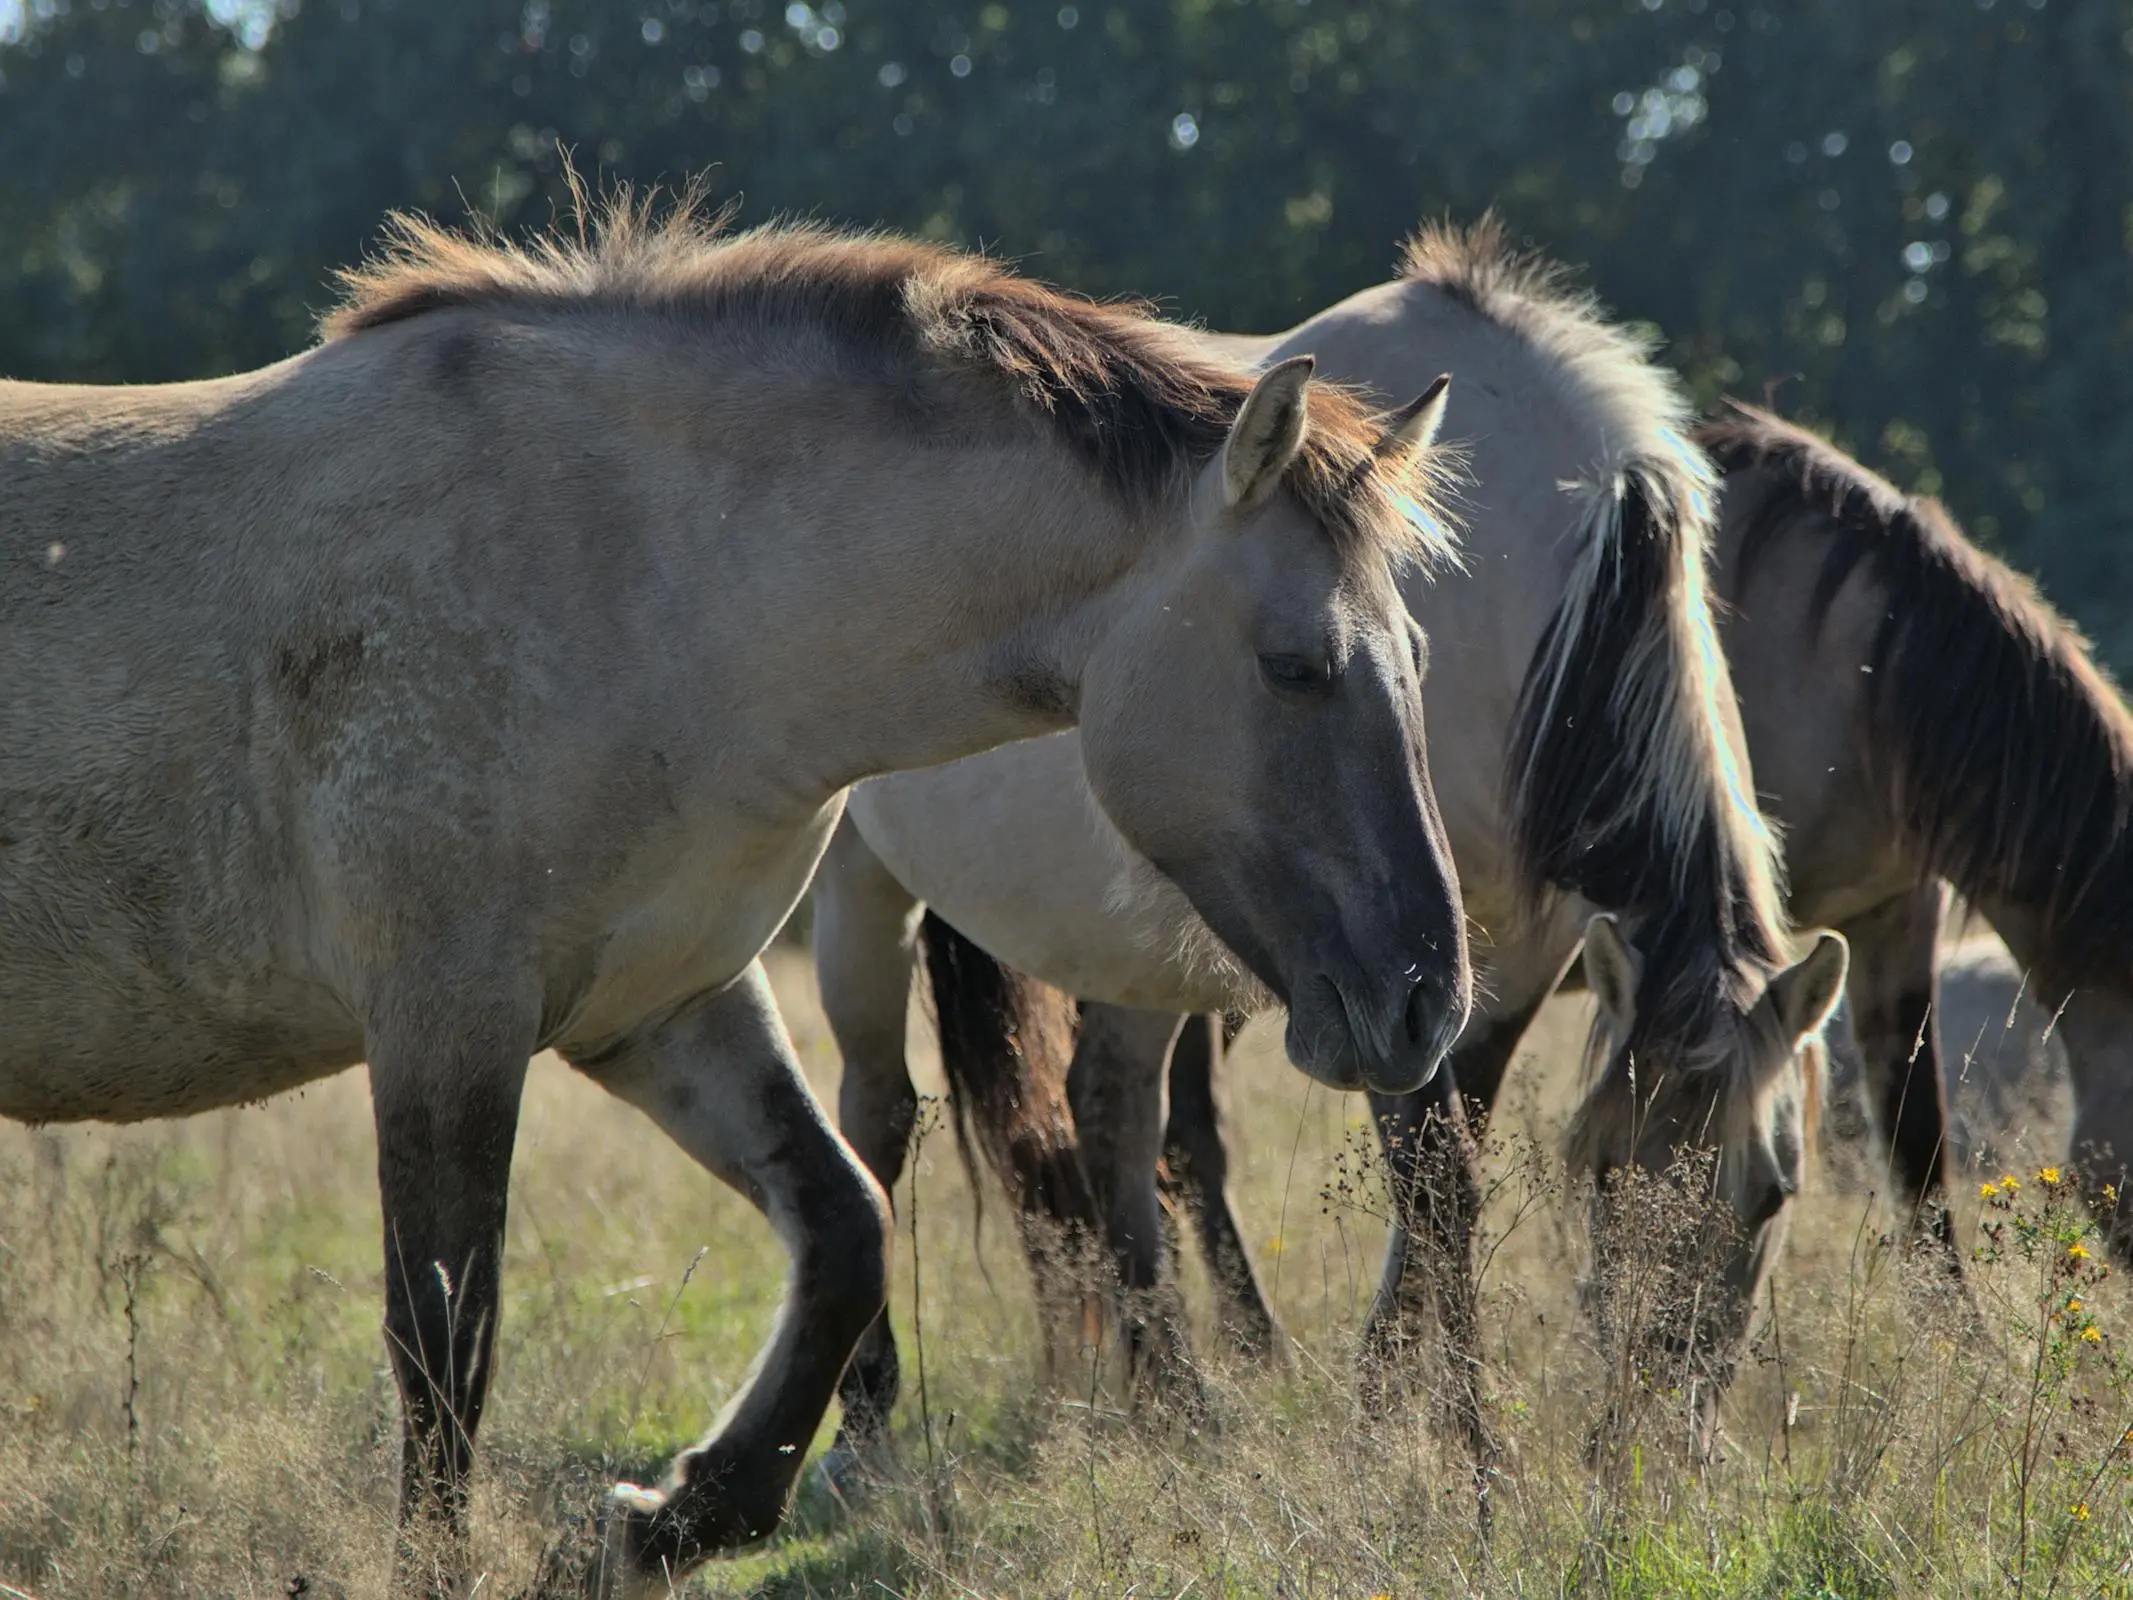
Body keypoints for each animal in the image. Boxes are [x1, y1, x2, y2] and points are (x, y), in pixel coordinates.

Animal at [0, 194, 1467, 1595]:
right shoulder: (443, 1025)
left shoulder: (662, 1004)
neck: (639, 579)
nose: (1424, 1002)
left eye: (1417, 650)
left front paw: (667, 1520)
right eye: (1294, 665)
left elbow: (846, 1230)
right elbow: (445, 1345)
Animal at [806, 219, 1842, 1484]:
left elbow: (1442, 1171)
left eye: (1773, 1195)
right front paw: (1453, 1439)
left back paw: (1176, 1394)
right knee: (878, 1114)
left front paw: (1388, 1402)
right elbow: (1437, 1183)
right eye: (1603, 1168)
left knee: (1115, 1114)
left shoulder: (1492, 967)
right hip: (860, 888)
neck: (1554, 602)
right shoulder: (1404, 957)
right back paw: (870, 1415)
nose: (1651, 1432)